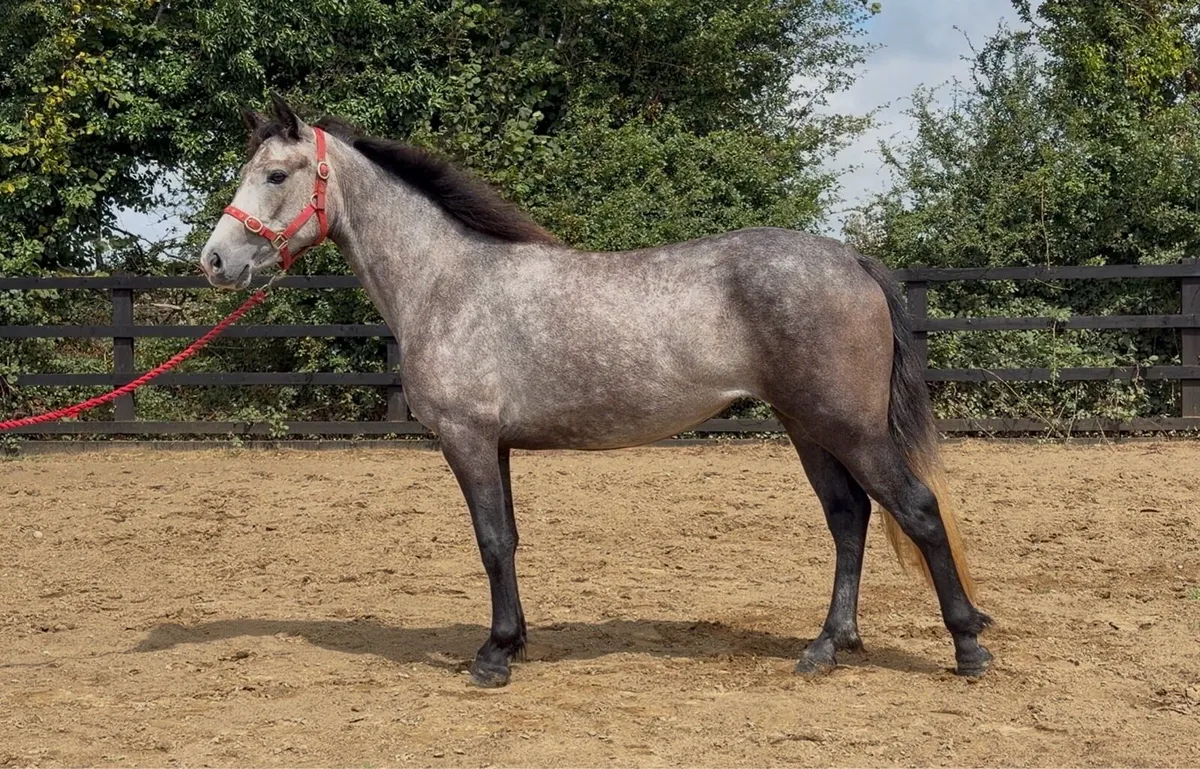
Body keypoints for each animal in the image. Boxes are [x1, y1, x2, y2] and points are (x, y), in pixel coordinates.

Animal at [199, 95, 992, 687]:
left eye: (276, 174)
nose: (215, 261)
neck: (448, 281)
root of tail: (850, 259)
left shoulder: (466, 439)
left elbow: (491, 540)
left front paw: (493, 657)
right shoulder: (497, 445)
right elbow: (509, 538)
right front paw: (514, 641)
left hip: (846, 426)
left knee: (916, 509)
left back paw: (967, 647)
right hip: (807, 425)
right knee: (848, 517)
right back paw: (827, 646)